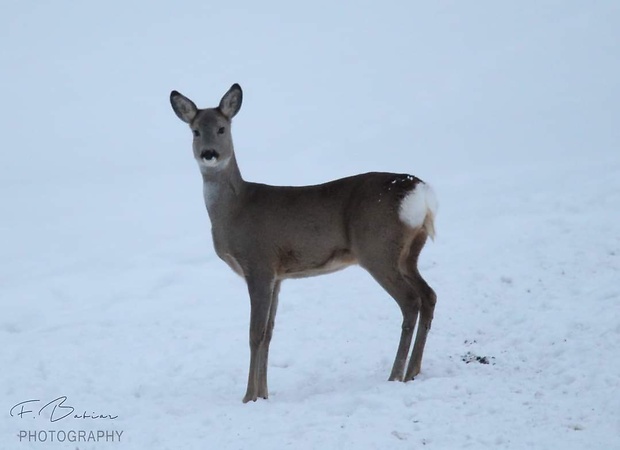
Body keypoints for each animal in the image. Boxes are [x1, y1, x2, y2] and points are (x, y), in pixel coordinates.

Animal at [172, 82, 438, 402]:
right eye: (195, 131)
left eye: (222, 128)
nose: (209, 153)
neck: (234, 210)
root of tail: (419, 191)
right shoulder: (278, 275)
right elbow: (269, 333)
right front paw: (264, 395)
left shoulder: (258, 263)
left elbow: (255, 333)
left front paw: (248, 397)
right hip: (409, 251)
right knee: (429, 295)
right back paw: (413, 371)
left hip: (378, 249)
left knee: (410, 301)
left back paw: (396, 375)